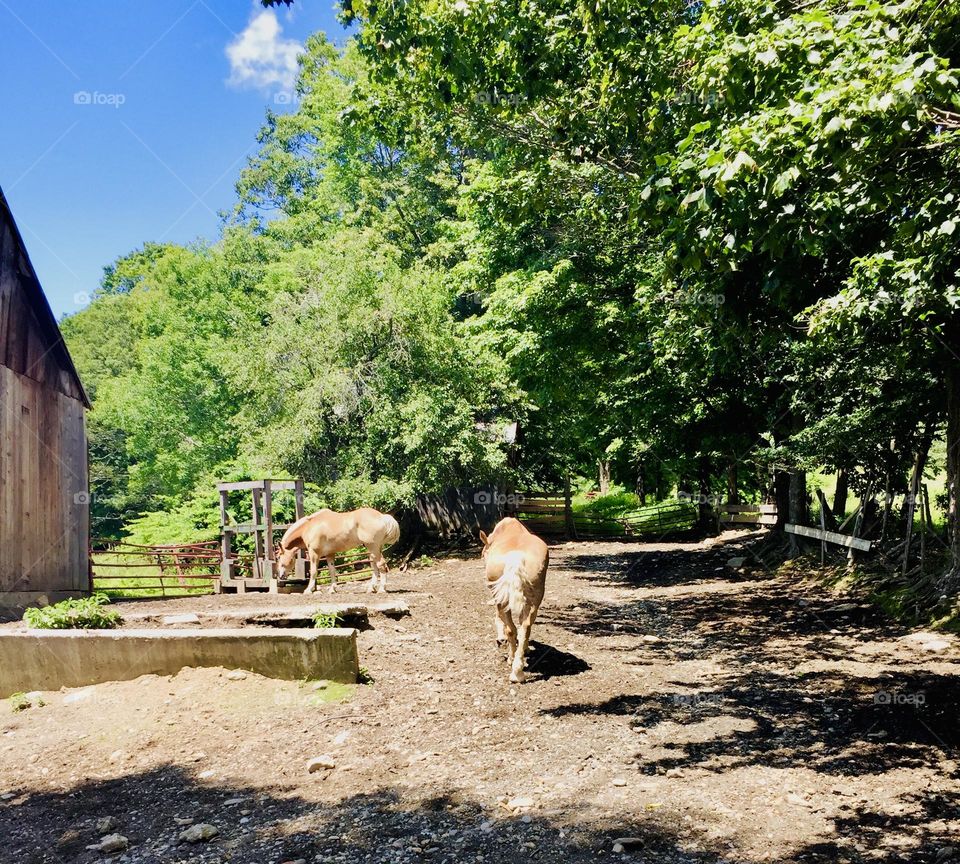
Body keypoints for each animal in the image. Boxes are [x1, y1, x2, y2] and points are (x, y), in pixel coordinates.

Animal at [479, 517, 548, 683]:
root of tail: (516, 557)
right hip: (535, 598)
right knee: (526, 627)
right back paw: (518, 671)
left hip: (502, 598)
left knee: (511, 628)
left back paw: (512, 661)